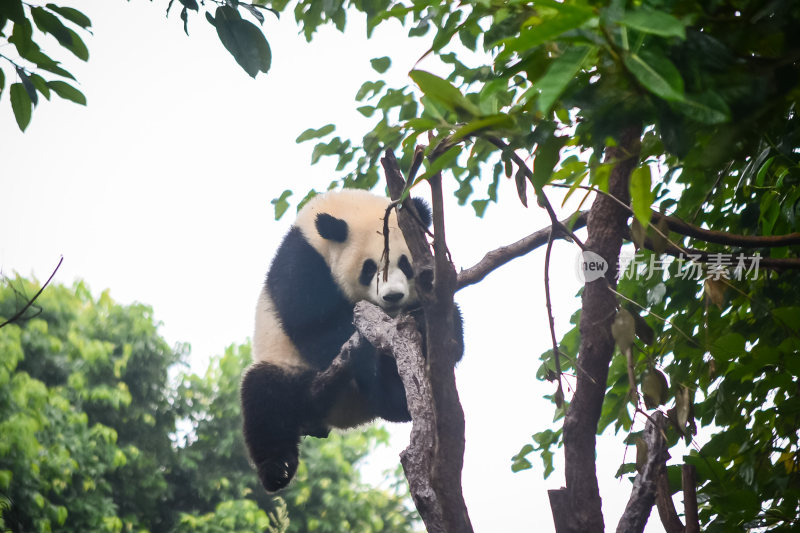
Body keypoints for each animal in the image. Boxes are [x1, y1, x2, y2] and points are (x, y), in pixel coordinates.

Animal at [239, 187, 462, 490]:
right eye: (369, 268)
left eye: (405, 264)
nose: (393, 296)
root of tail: (339, 416)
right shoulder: (302, 262)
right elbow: (314, 326)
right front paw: (363, 349)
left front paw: (431, 329)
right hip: (287, 367)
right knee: (264, 398)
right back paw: (277, 470)